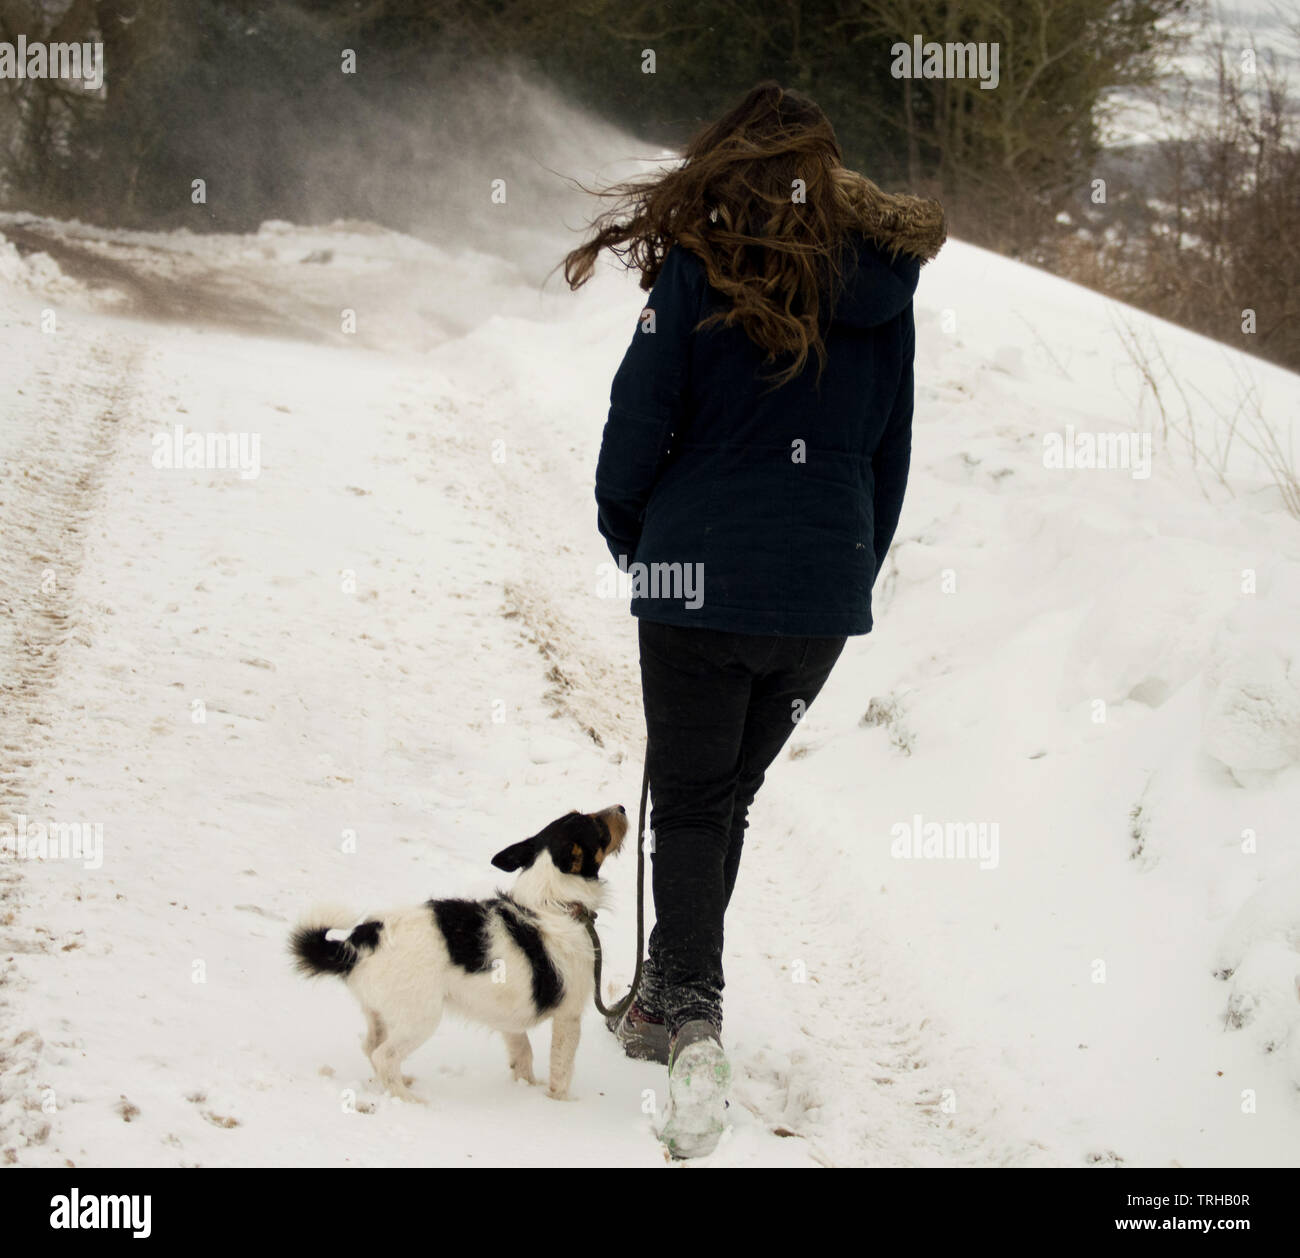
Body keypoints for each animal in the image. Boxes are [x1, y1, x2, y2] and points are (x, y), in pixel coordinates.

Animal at [288, 805, 629, 1102]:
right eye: (597, 826)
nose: (623, 808)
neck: (552, 901)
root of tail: (358, 943)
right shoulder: (569, 1016)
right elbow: (561, 1069)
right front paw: (559, 1104)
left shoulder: (510, 1014)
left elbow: (522, 1053)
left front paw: (525, 1088)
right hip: (421, 1018)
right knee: (383, 1055)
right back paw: (407, 1099)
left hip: (380, 1012)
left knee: (371, 1046)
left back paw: (399, 1082)